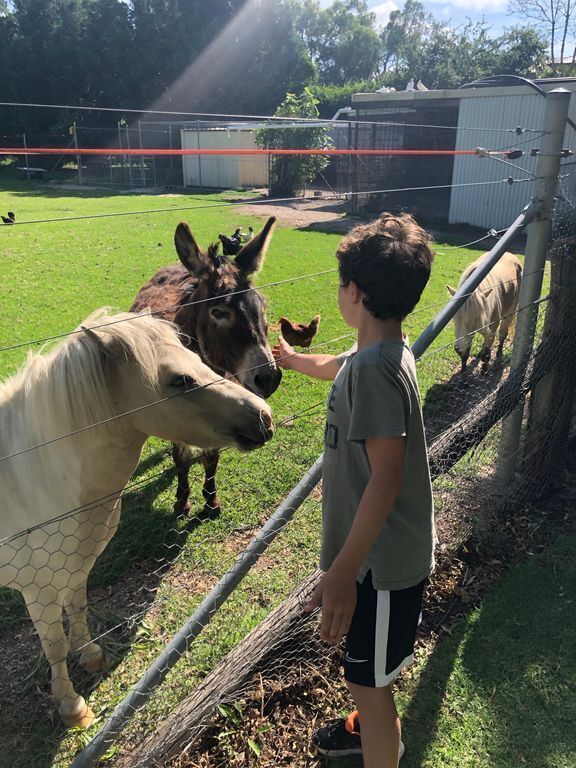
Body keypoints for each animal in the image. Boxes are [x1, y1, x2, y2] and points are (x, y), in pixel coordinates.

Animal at [0, 308, 274, 728]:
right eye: (180, 379)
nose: (264, 416)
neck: (33, 473)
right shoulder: (39, 589)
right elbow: (55, 646)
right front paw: (72, 707)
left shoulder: (77, 566)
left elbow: (78, 610)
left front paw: (91, 656)